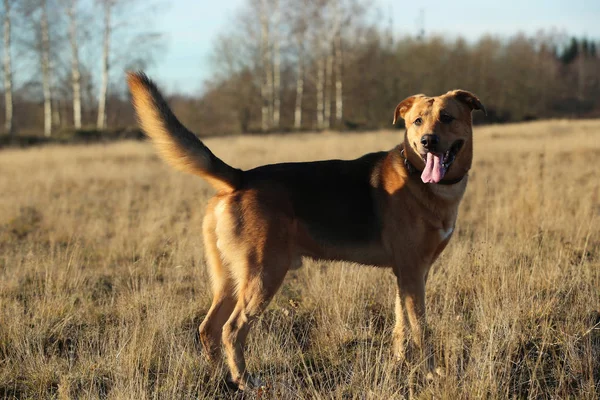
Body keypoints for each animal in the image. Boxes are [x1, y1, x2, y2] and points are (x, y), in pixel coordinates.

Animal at [125, 72, 482, 390]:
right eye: (417, 121)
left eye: (447, 117)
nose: (427, 142)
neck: (420, 178)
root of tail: (240, 177)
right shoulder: (412, 272)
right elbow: (421, 329)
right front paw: (431, 372)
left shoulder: (409, 274)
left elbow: (401, 326)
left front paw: (399, 365)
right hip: (264, 275)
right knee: (231, 329)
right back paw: (244, 380)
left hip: (229, 278)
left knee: (208, 328)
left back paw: (220, 378)